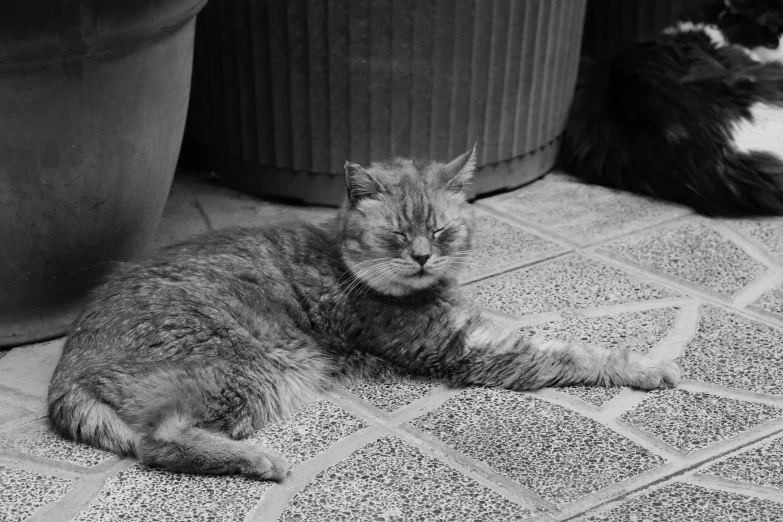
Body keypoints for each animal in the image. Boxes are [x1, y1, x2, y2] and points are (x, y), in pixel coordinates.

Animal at [47, 147, 680, 480]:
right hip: (247, 366)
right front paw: (644, 367)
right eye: (398, 235)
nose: (422, 256)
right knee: (160, 441)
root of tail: (68, 371)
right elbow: (571, 352)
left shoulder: (473, 325)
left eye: (440, 232)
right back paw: (256, 459)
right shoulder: (466, 350)